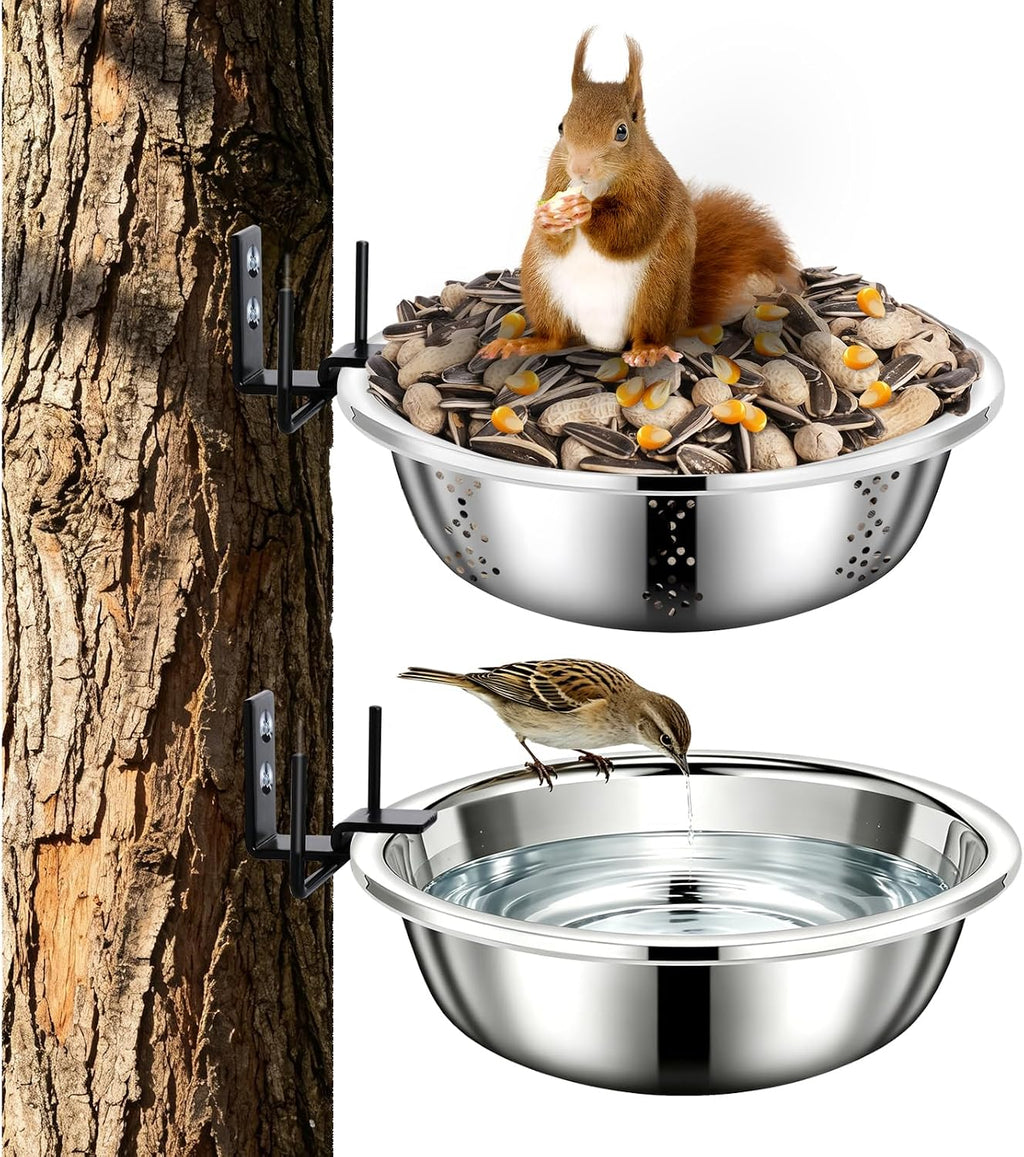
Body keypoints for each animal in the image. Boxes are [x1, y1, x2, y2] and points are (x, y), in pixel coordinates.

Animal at [481, 30, 799, 368]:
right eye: (560, 127)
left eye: (622, 131)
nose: (579, 168)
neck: (594, 187)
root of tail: (601, 341)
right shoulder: (555, 178)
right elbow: (554, 234)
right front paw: (547, 218)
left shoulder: (655, 191)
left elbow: (632, 228)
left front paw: (588, 211)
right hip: (541, 286)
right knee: (556, 338)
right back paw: (520, 345)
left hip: (657, 290)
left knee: (647, 331)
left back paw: (648, 351)